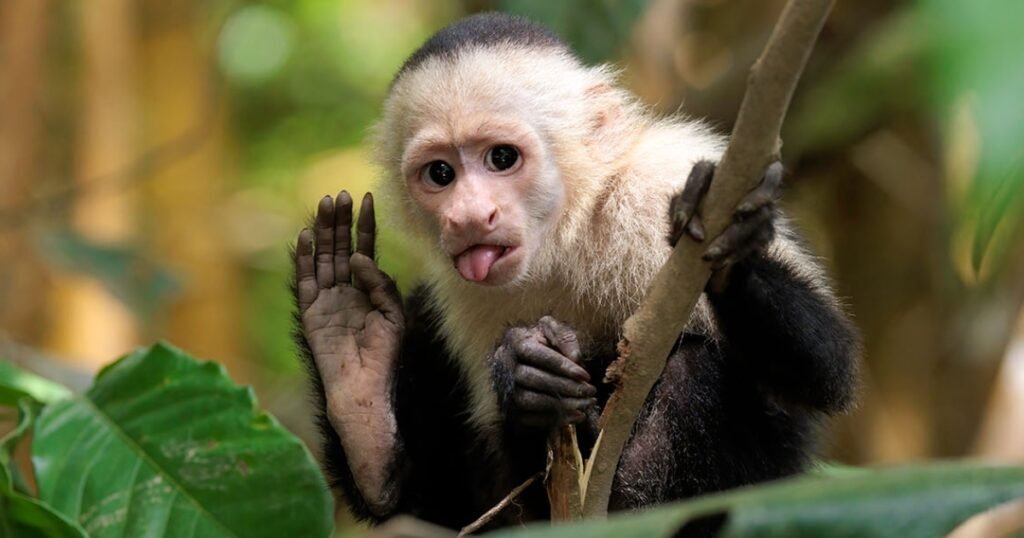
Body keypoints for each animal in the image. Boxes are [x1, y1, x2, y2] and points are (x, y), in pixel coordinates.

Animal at [292, 12, 859, 534]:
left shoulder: (661, 183)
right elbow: (478, 499)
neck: (563, 240)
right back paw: (357, 389)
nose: (470, 216)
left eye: (502, 158)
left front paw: (731, 247)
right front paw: (523, 373)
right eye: (441, 173)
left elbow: (828, 371)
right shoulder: (461, 294)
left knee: (697, 368)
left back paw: (634, 506)